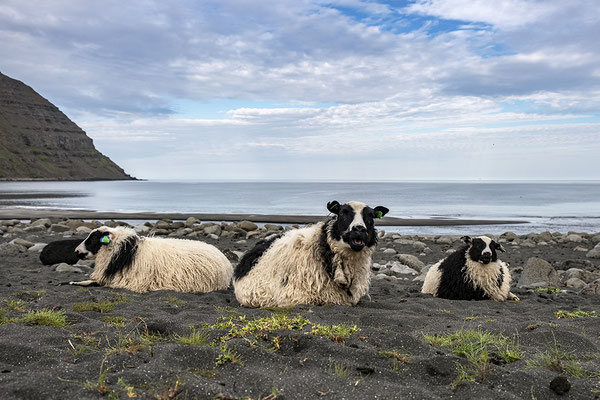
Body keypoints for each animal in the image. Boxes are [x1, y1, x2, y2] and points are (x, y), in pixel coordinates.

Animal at [68, 225, 232, 294]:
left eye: (94, 238)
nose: (76, 251)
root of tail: (225, 261)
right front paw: (73, 282)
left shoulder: (126, 282)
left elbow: (93, 283)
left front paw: (75, 282)